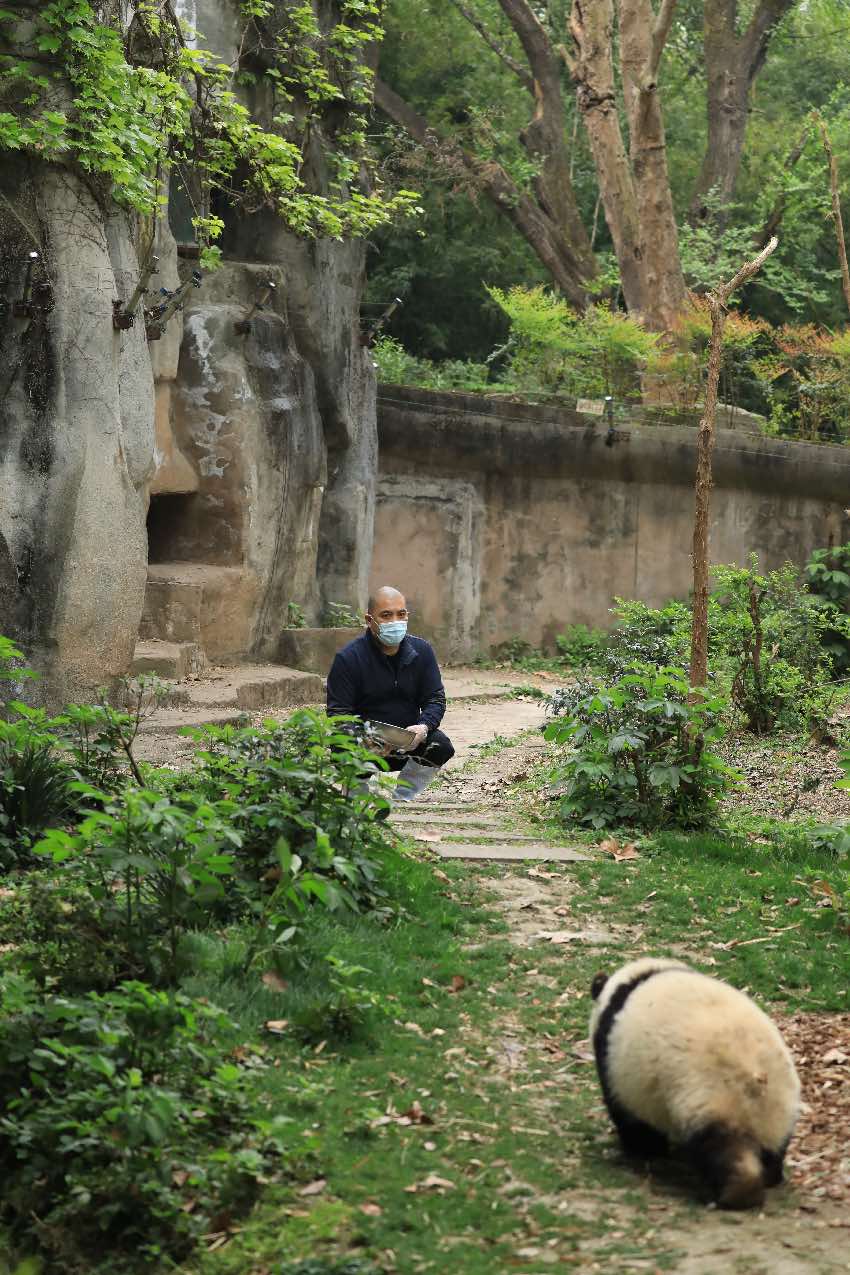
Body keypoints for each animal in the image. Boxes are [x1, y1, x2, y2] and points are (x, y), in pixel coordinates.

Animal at [588, 958, 800, 1208]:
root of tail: (756, 1076)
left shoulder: (615, 1062)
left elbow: (628, 1114)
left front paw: (643, 1148)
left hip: (711, 1095)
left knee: (720, 1147)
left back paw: (736, 1192)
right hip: (779, 1104)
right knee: (775, 1145)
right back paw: (770, 1176)